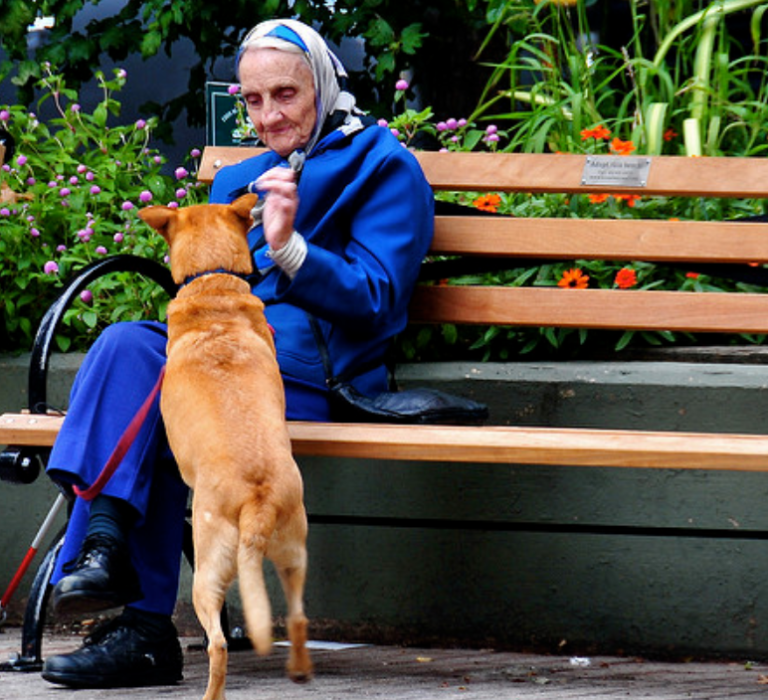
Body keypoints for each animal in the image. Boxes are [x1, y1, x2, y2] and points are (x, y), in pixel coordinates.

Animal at [138, 196, 312, 700]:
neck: (212, 286)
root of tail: (256, 500)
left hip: (206, 568)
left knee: (217, 645)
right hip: (294, 550)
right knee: (297, 617)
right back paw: (299, 670)